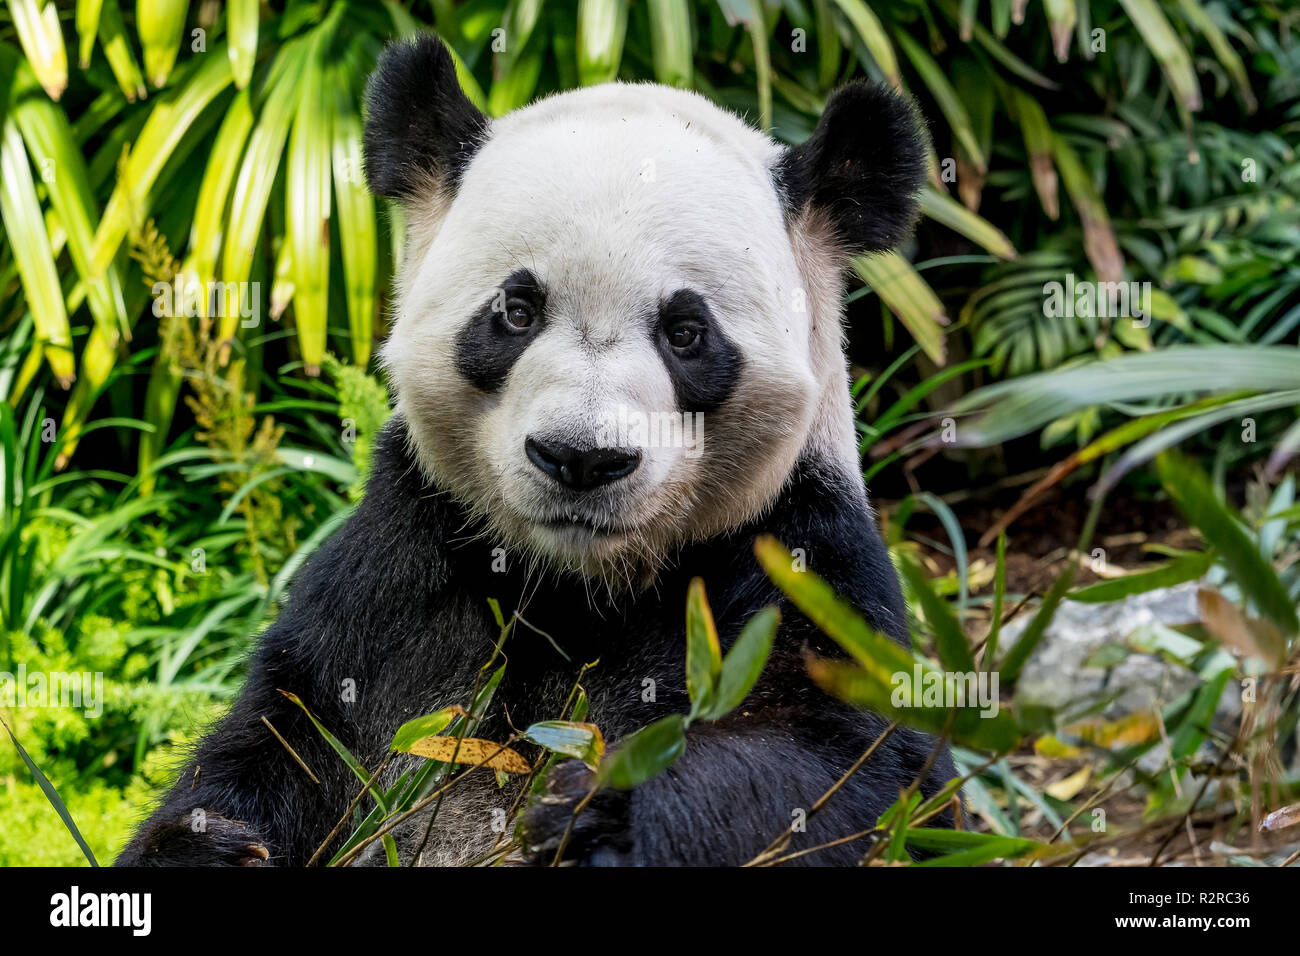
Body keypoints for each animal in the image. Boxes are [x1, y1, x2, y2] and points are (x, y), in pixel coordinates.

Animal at [117, 33, 953, 867]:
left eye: (687, 333)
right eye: (516, 311)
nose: (582, 458)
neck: (578, 587)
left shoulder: (791, 559)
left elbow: (842, 765)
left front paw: (596, 816)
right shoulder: (400, 572)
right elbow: (287, 733)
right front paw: (209, 847)